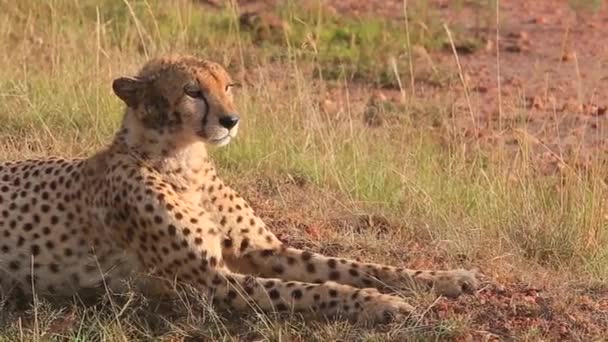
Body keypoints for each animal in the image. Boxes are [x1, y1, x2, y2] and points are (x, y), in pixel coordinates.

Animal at [0, 55, 480, 324]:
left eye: (227, 86)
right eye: (192, 91)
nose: (231, 120)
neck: (183, 162)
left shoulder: (263, 249)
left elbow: (348, 265)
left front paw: (444, 278)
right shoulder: (208, 281)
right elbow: (311, 290)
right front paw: (378, 304)